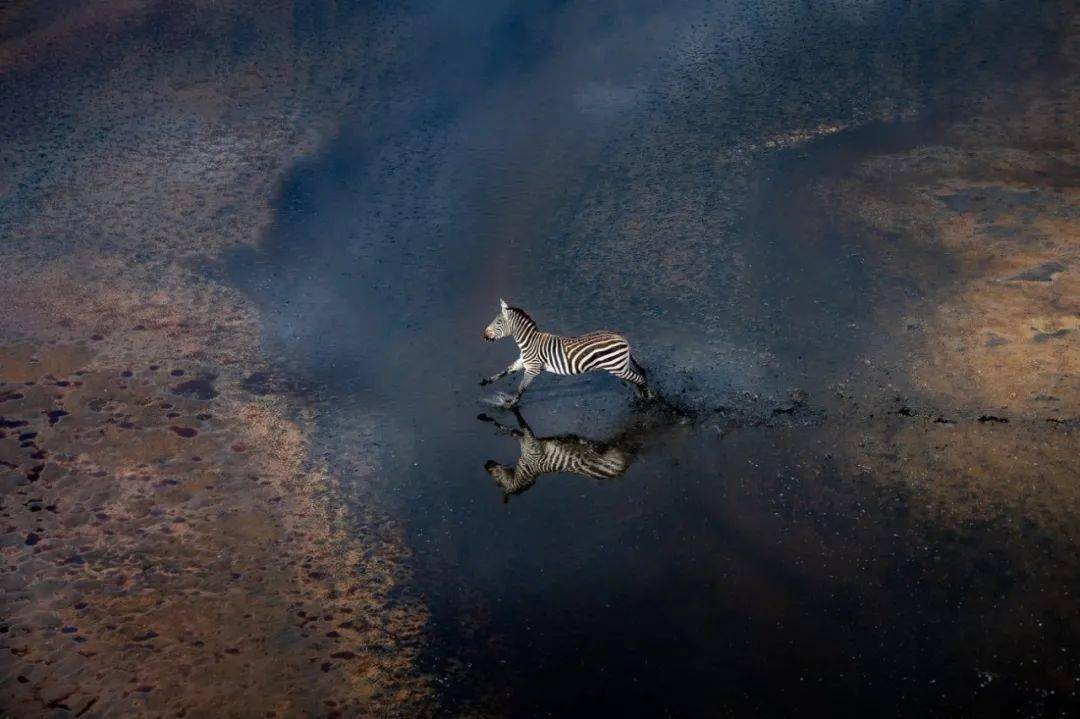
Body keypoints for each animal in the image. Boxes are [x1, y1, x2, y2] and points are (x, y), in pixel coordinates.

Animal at [479, 408, 635, 498]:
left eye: (497, 480)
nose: (486, 464)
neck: (528, 468)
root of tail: (624, 467)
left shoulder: (530, 443)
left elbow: (518, 423)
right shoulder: (526, 441)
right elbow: (512, 431)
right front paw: (487, 418)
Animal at [481, 295, 648, 403]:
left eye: (498, 322)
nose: (484, 336)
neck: (529, 342)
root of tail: (622, 338)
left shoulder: (532, 368)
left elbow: (521, 388)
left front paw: (510, 404)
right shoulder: (523, 362)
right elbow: (505, 371)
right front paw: (485, 381)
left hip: (616, 367)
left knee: (639, 378)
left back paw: (648, 398)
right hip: (619, 366)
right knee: (637, 378)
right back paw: (642, 395)